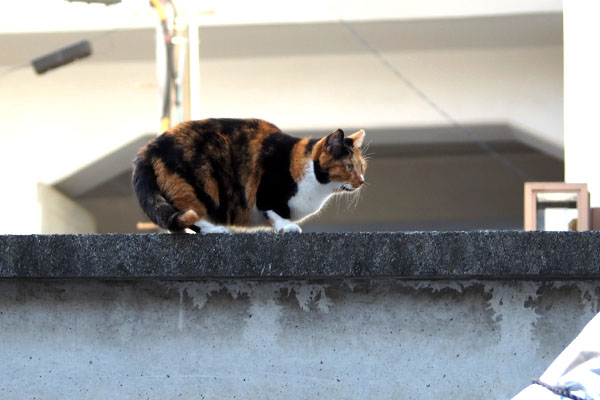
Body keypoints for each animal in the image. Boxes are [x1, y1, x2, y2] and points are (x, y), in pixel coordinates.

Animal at [132, 117, 366, 233]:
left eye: (362, 167)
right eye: (348, 167)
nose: (362, 181)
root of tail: (147, 150)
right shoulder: (266, 191)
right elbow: (272, 210)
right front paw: (286, 226)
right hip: (197, 185)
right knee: (190, 215)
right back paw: (216, 230)